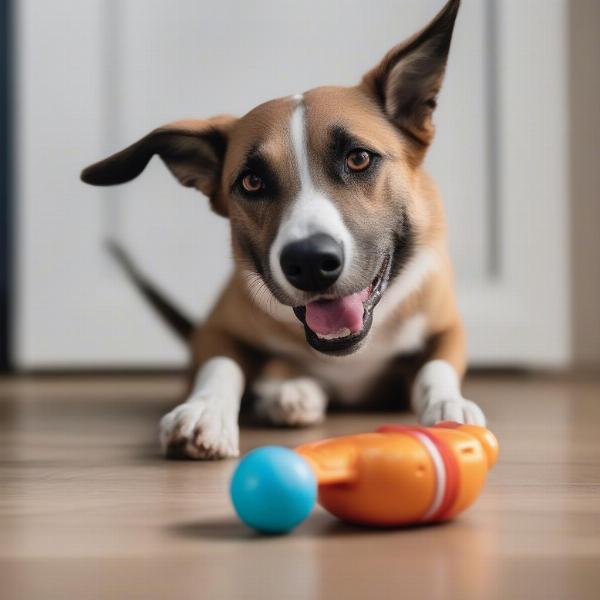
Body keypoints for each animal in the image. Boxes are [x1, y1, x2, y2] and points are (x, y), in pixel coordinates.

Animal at [81, 0, 482, 460]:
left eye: (359, 158)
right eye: (252, 182)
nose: (309, 262)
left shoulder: (446, 323)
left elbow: (437, 365)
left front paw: (449, 405)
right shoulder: (216, 328)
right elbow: (221, 365)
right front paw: (204, 411)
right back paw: (290, 393)